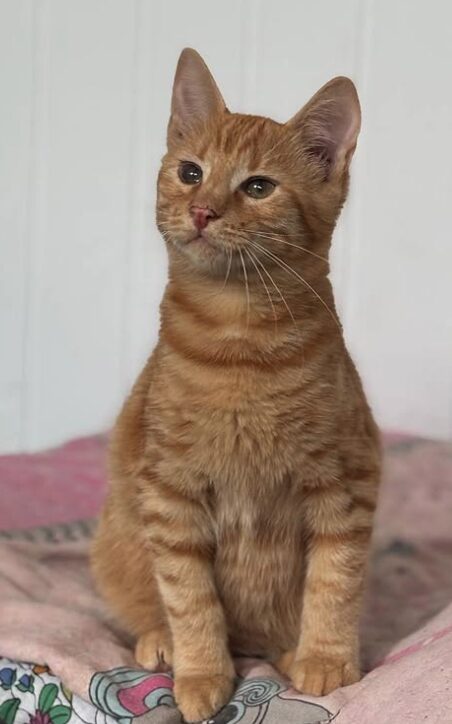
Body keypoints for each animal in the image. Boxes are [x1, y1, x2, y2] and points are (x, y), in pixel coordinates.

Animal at [92, 48, 382, 720]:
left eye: (257, 187)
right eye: (190, 172)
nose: (202, 210)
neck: (239, 346)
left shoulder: (346, 484)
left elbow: (335, 581)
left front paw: (326, 659)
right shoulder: (170, 492)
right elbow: (190, 597)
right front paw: (202, 674)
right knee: (151, 604)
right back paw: (161, 642)